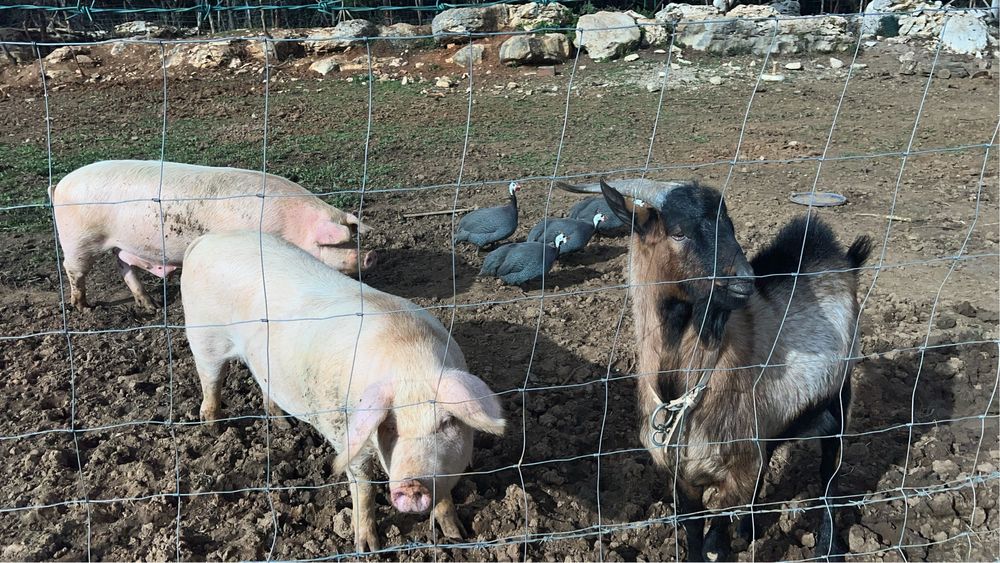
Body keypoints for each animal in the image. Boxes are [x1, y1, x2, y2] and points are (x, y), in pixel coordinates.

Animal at [47, 160, 376, 312]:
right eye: (332, 243)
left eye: (351, 237)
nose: (370, 255)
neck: (288, 226)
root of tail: (59, 185)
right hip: (77, 239)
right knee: (73, 270)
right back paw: (83, 307)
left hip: (121, 243)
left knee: (123, 266)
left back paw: (150, 307)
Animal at [180, 231, 504, 552]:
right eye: (390, 425)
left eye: (447, 422)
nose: (412, 486)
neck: (409, 363)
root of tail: (205, 240)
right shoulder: (342, 427)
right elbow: (363, 485)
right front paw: (367, 548)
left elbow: (445, 493)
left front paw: (457, 535)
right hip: (204, 338)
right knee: (210, 382)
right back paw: (211, 427)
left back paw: (284, 424)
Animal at [560, 178, 872, 560]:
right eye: (678, 232)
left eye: (731, 226)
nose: (744, 279)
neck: (678, 384)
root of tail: (842, 258)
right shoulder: (681, 473)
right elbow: (693, 527)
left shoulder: (737, 469)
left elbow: (717, 527)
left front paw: (720, 543)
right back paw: (749, 528)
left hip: (839, 397)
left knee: (830, 472)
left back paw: (829, 545)